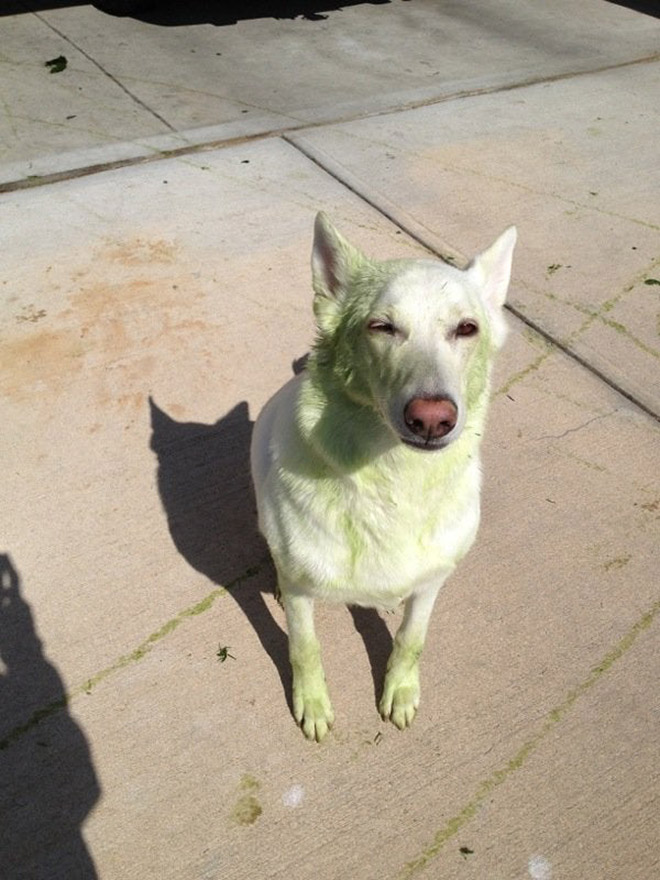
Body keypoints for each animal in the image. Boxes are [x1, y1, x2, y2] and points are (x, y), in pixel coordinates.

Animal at [251, 215, 516, 744]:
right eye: (382, 327)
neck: (393, 481)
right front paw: (312, 703)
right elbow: (304, 648)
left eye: (467, 329)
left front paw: (401, 689)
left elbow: (412, 639)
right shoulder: (302, 596)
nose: (432, 419)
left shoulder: (433, 582)